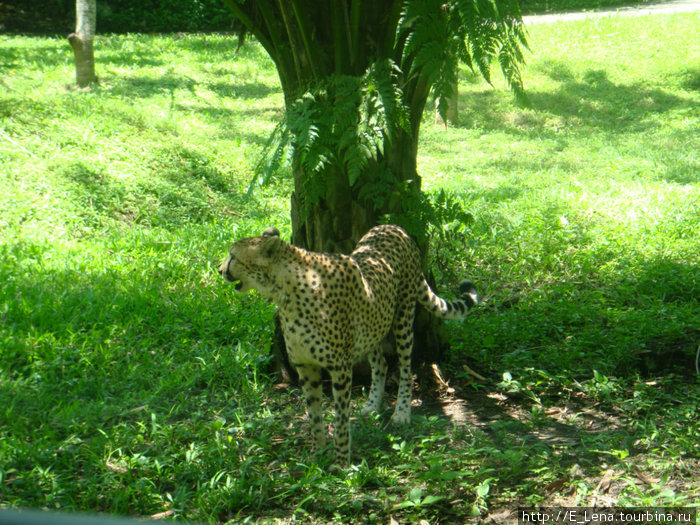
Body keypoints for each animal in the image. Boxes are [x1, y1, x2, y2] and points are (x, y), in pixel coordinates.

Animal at [220, 223, 476, 464]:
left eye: (233, 256)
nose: (220, 270)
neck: (286, 293)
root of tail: (394, 227)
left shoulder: (340, 369)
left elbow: (341, 419)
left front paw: (341, 462)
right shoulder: (305, 366)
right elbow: (314, 414)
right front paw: (317, 454)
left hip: (403, 317)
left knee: (405, 368)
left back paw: (402, 412)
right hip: (372, 325)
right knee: (381, 365)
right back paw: (372, 404)